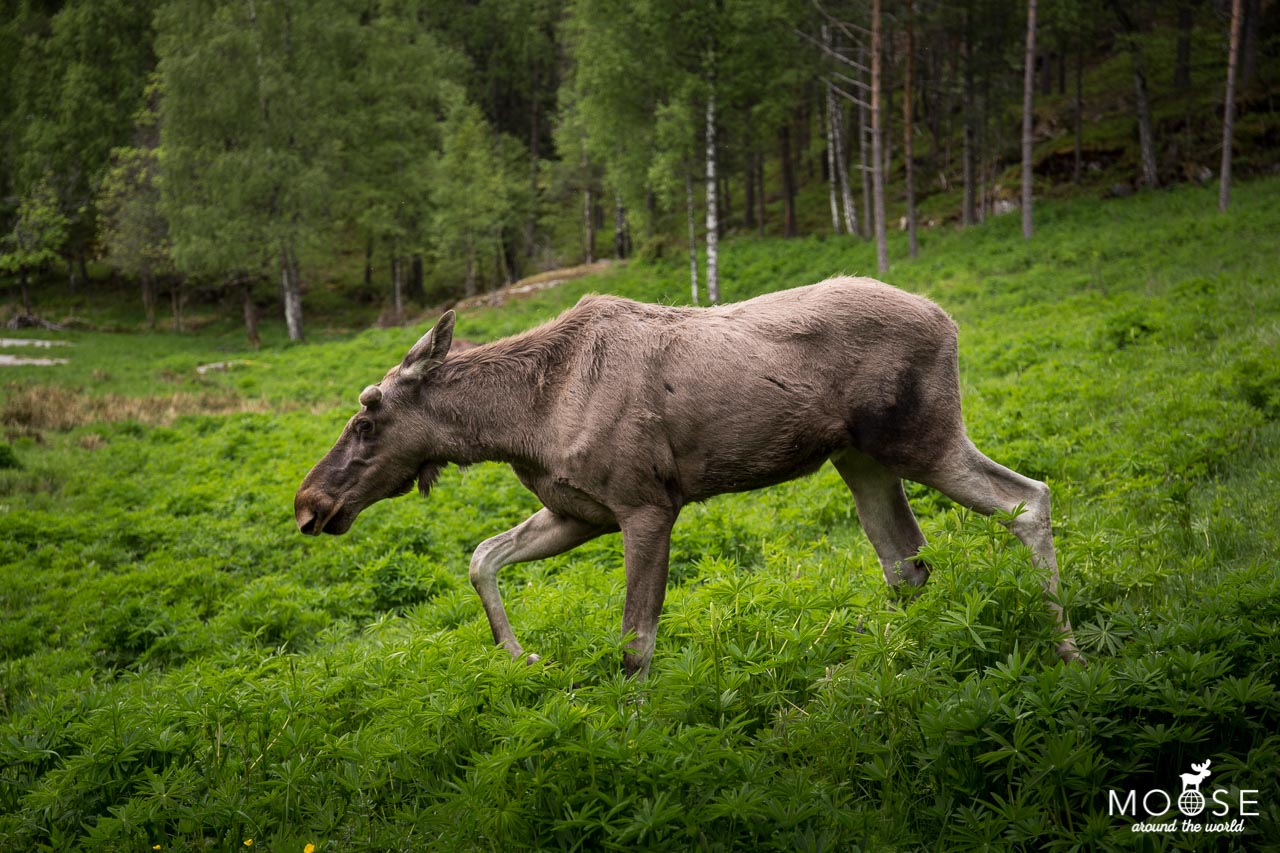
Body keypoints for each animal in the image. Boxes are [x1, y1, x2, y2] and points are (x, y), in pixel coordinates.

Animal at [293, 275, 1080, 676]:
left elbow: (635, 641)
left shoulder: (646, 504)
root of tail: (950, 319)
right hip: (859, 459)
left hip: (923, 436)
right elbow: (482, 557)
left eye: (367, 417)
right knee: (906, 562)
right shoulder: (578, 510)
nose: (308, 503)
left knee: (1028, 500)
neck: (521, 422)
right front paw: (523, 656)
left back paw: (1067, 648)